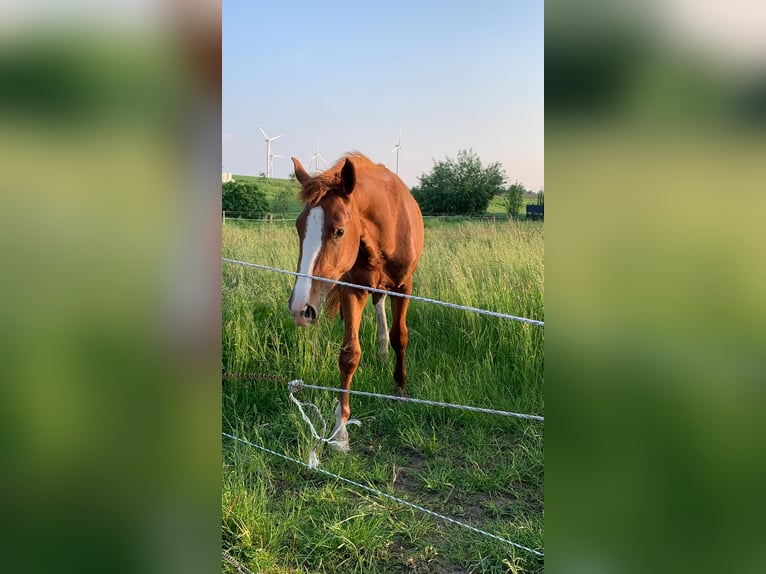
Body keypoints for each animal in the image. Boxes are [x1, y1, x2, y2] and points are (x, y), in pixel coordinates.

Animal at [288, 154, 426, 454]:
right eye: (298, 227)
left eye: (339, 231)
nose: (299, 308)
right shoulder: (353, 289)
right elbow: (349, 354)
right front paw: (340, 431)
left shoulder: (404, 287)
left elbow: (401, 337)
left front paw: (400, 388)